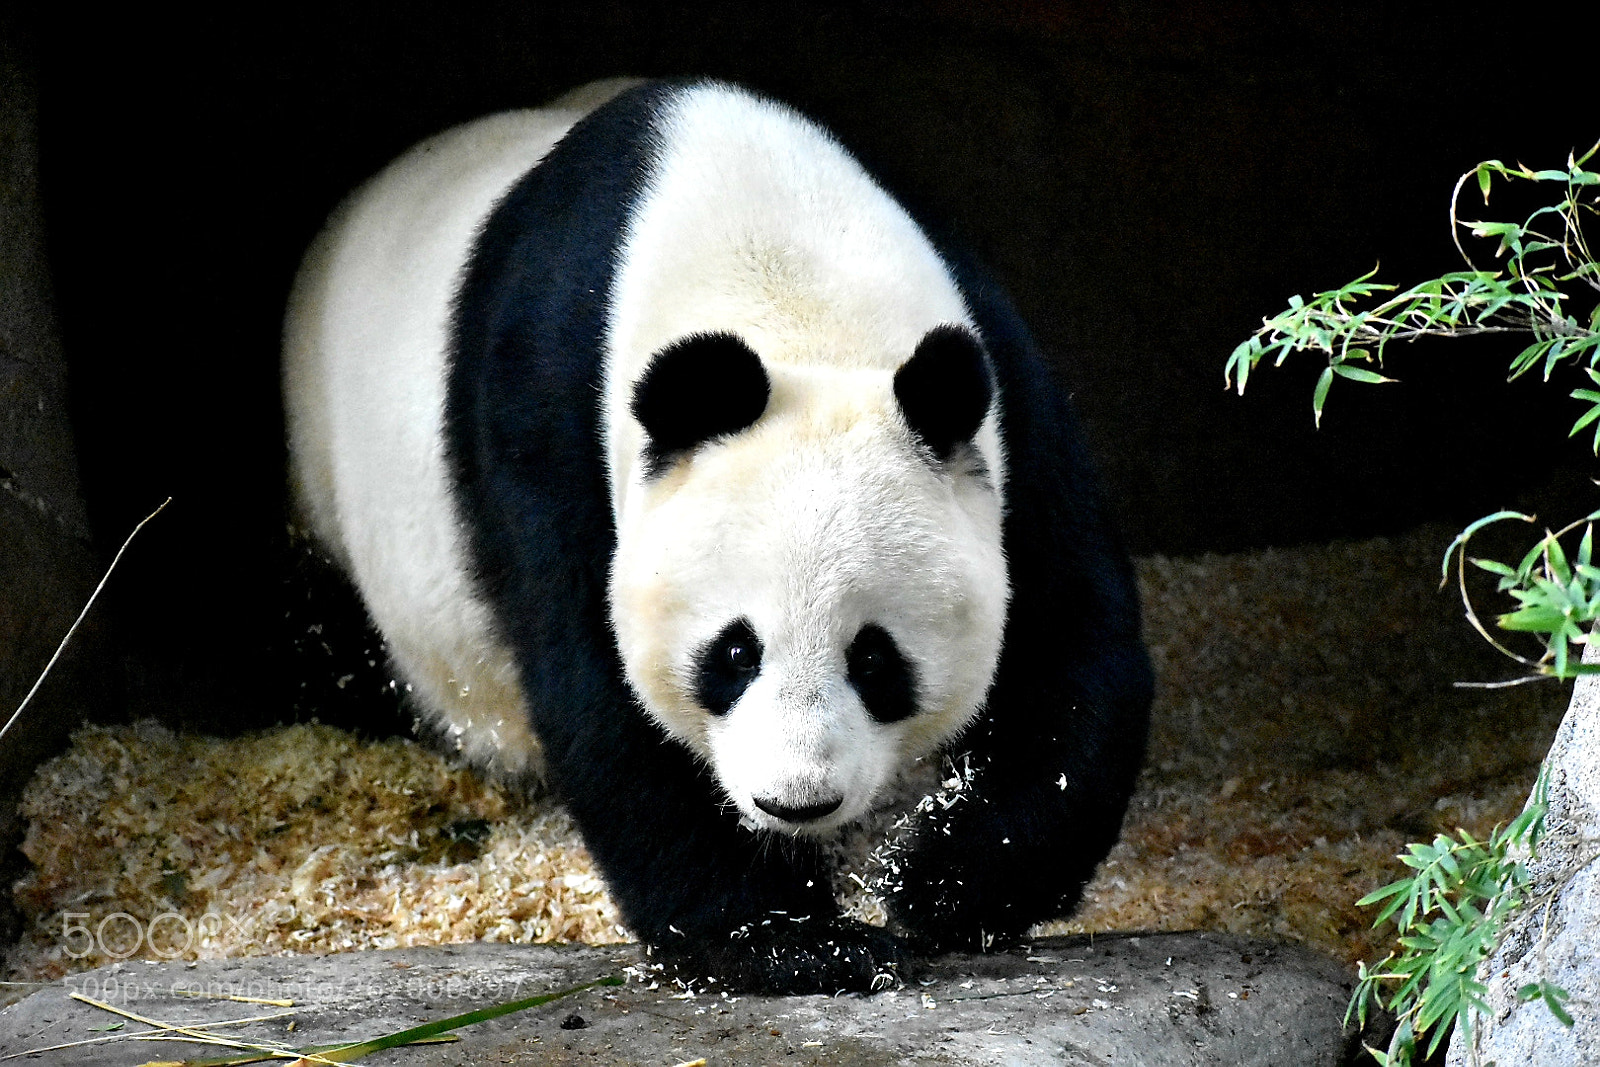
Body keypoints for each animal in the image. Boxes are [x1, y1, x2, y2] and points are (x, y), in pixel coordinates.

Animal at [283, 77, 1152, 995]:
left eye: (876, 658)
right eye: (734, 652)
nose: (797, 802)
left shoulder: (996, 385)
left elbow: (1071, 644)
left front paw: (943, 884)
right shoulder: (548, 415)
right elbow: (606, 698)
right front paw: (793, 942)